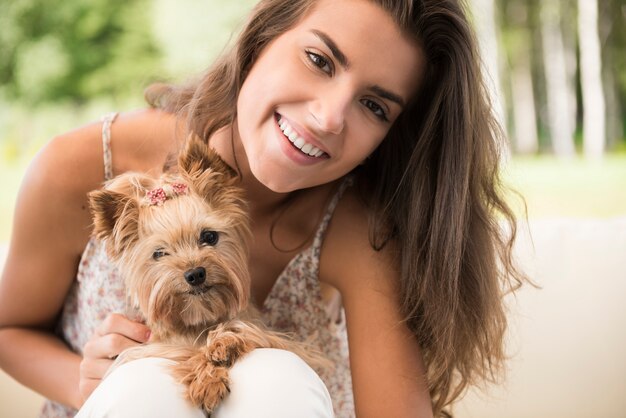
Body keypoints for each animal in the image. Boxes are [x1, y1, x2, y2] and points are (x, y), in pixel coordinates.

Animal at [89, 136, 322, 414]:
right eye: (159, 253)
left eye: (209, 236)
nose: (195, 274)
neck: (199, 318)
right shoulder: (152, 348)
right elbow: (180, 353)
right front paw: (206, 377)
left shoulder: (283, 341)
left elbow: (243, 329)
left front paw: (222, 346)